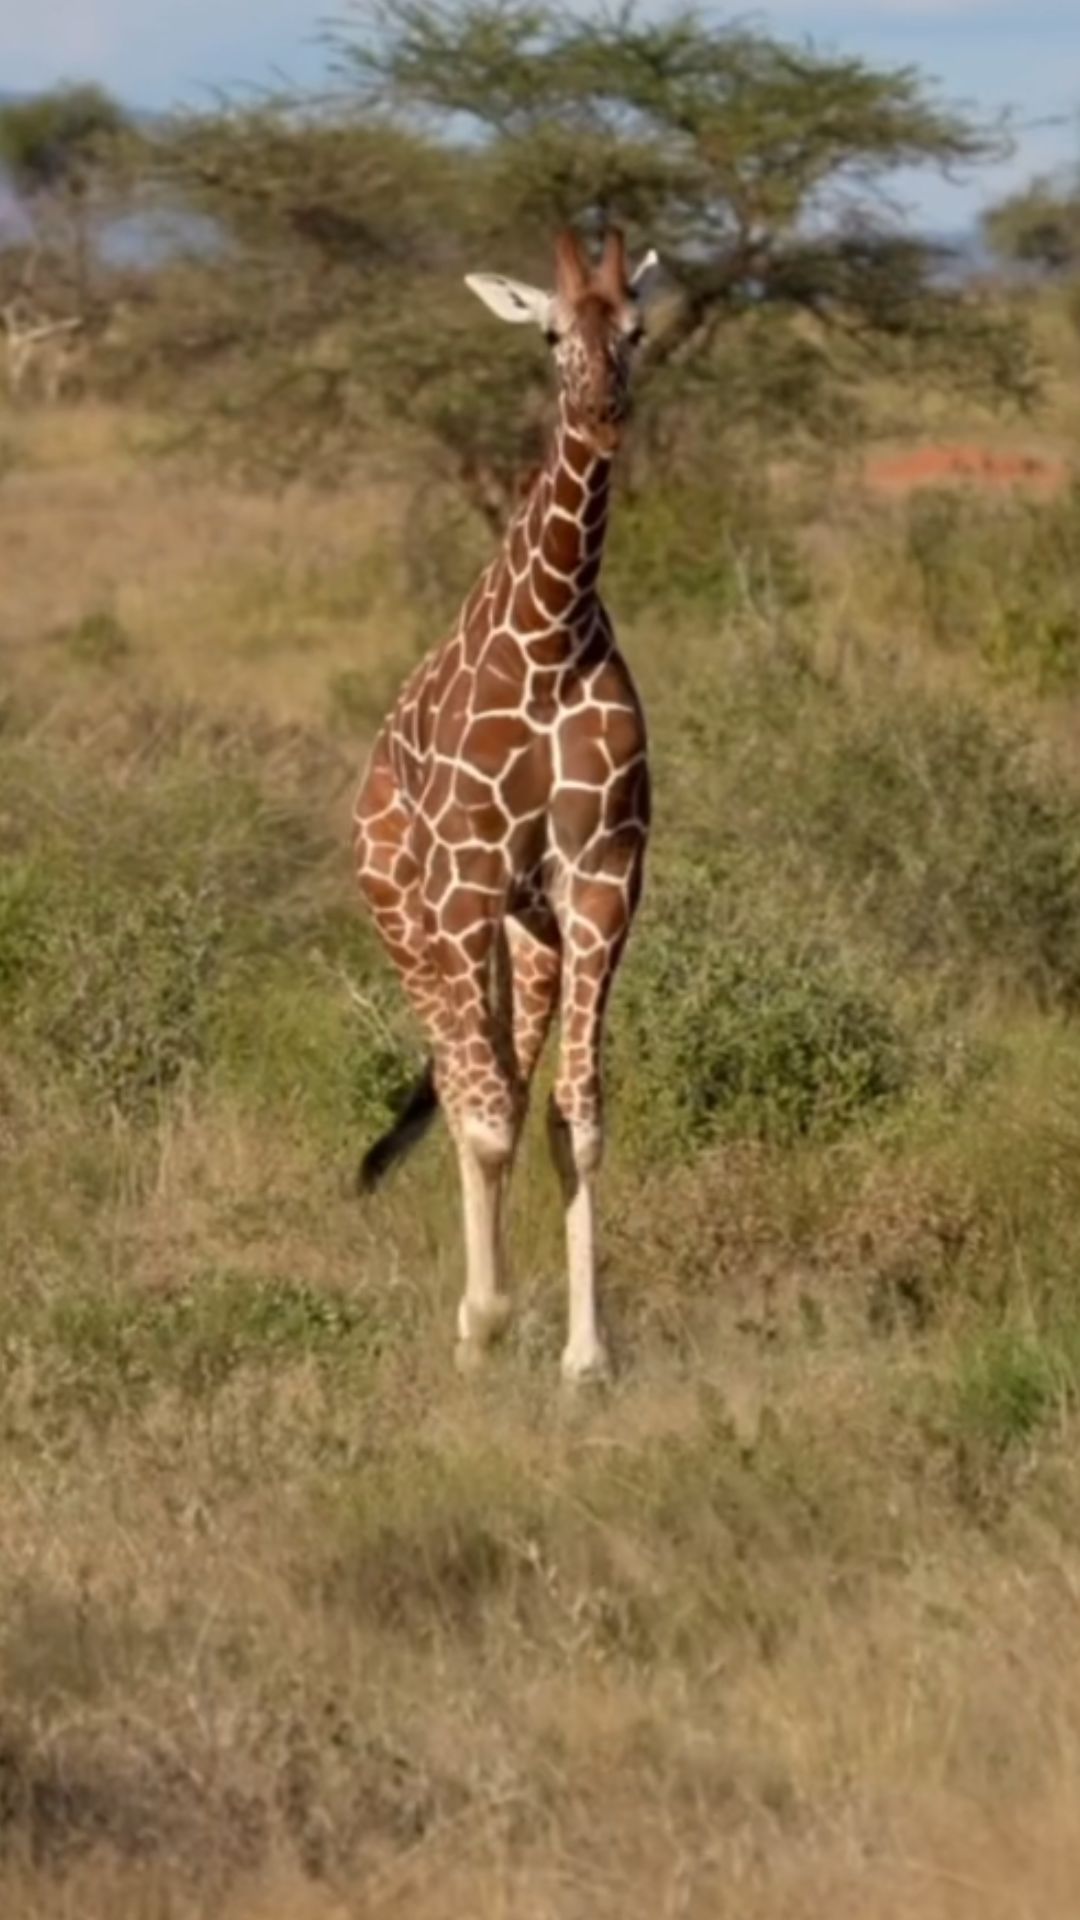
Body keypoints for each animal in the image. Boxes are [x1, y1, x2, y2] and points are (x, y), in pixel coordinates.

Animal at [352, 226, 659, 1384]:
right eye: (547, 334)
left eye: (637, 330)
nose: (604, 411)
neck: (552, 633)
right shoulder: (466, 883)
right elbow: (480, 1118)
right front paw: (482, 1322)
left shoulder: (602, 882)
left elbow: (579, 1115)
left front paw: (586, 1358)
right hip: (409, 914)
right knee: (462, 1081)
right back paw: (473, 1320)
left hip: (528, 937)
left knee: (511, 1083)